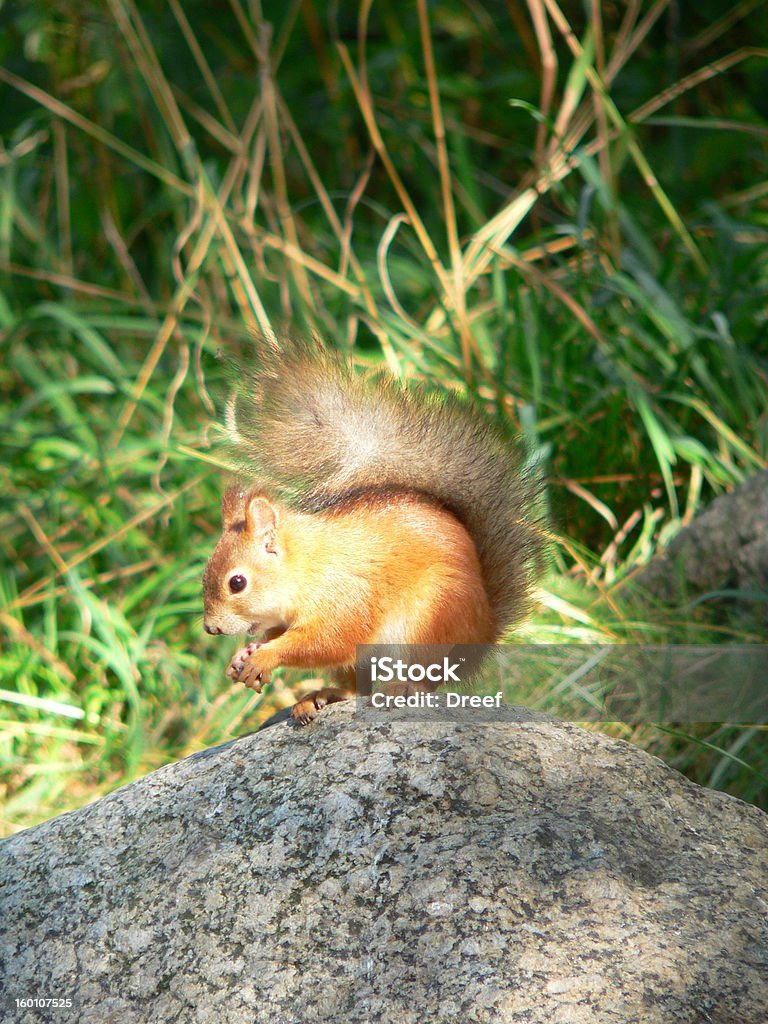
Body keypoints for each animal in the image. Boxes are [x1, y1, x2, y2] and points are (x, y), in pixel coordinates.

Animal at [201, 339, 544, 724]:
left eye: (237, 583)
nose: (210, 628)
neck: (305, 569)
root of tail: (484, 630)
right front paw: (245, 655)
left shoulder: (345, 599)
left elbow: (325, 641)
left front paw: (264, 655)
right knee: (355, 685)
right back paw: (324, 695)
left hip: (428, 623)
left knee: (426, 676)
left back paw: (403, 688)